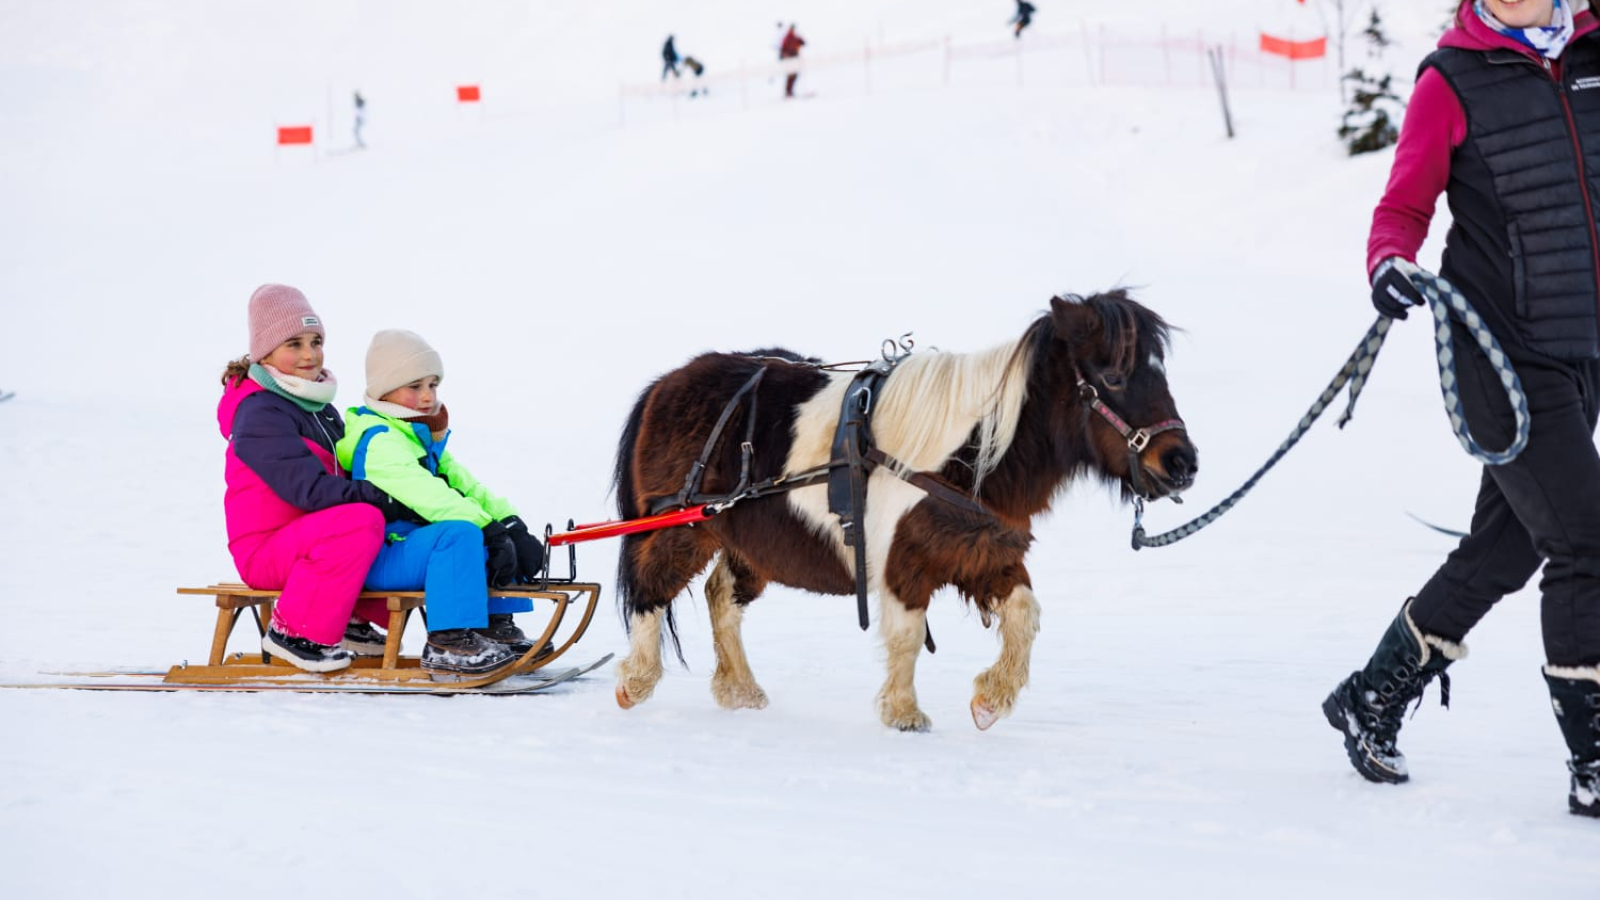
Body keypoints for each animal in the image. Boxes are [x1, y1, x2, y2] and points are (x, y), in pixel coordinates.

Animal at [604, 293, 1196, 730]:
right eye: (1113, 378)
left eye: (1162, 373)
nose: (1183, 463)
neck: (967, 454)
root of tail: (667, 384)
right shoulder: (902, 561)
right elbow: (908, 634)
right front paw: (905, 714)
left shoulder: (984, 552)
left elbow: (1025, 616)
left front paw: (991, 699)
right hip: (679, 526)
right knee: (650, 589)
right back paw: (636, 681)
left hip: (749, 540)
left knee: (720, 594)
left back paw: (740, 690)